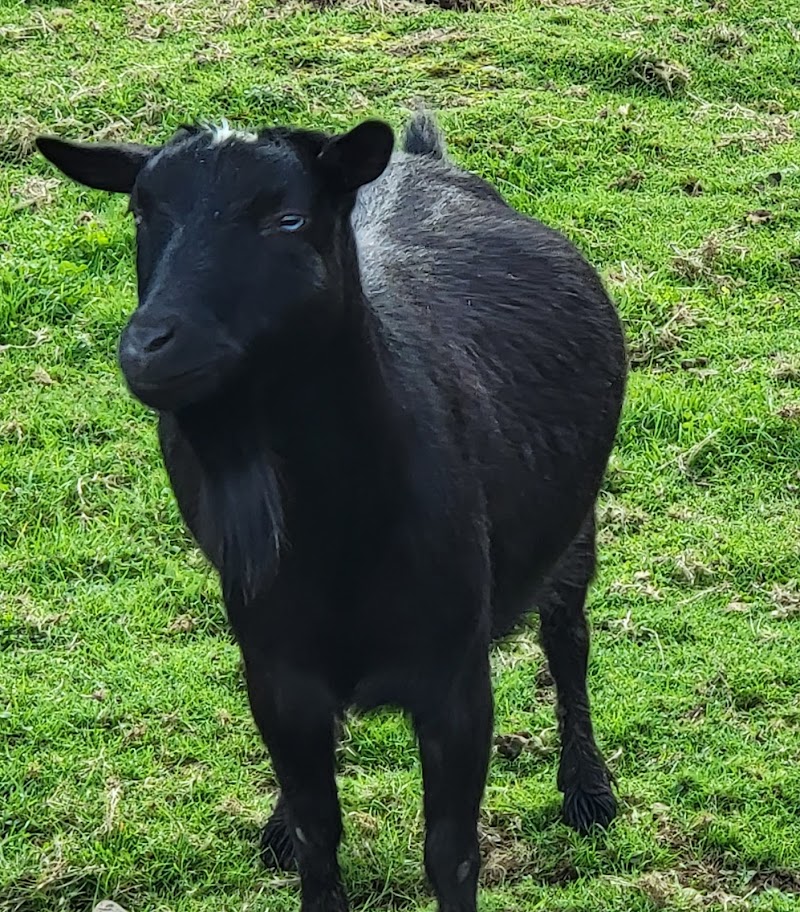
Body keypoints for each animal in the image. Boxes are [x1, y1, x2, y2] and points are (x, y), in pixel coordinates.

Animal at [37, 108, 627, 912]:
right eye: (141, 211)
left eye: (288, 218)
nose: (150, 347)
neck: (340, 535)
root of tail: (419, 160)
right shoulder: (276, 670)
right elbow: (320, 837)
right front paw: (294, 833)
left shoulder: (455, 678)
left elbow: (452, 853)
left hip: (574, 528)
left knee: (568, 640)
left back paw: (588, 791)